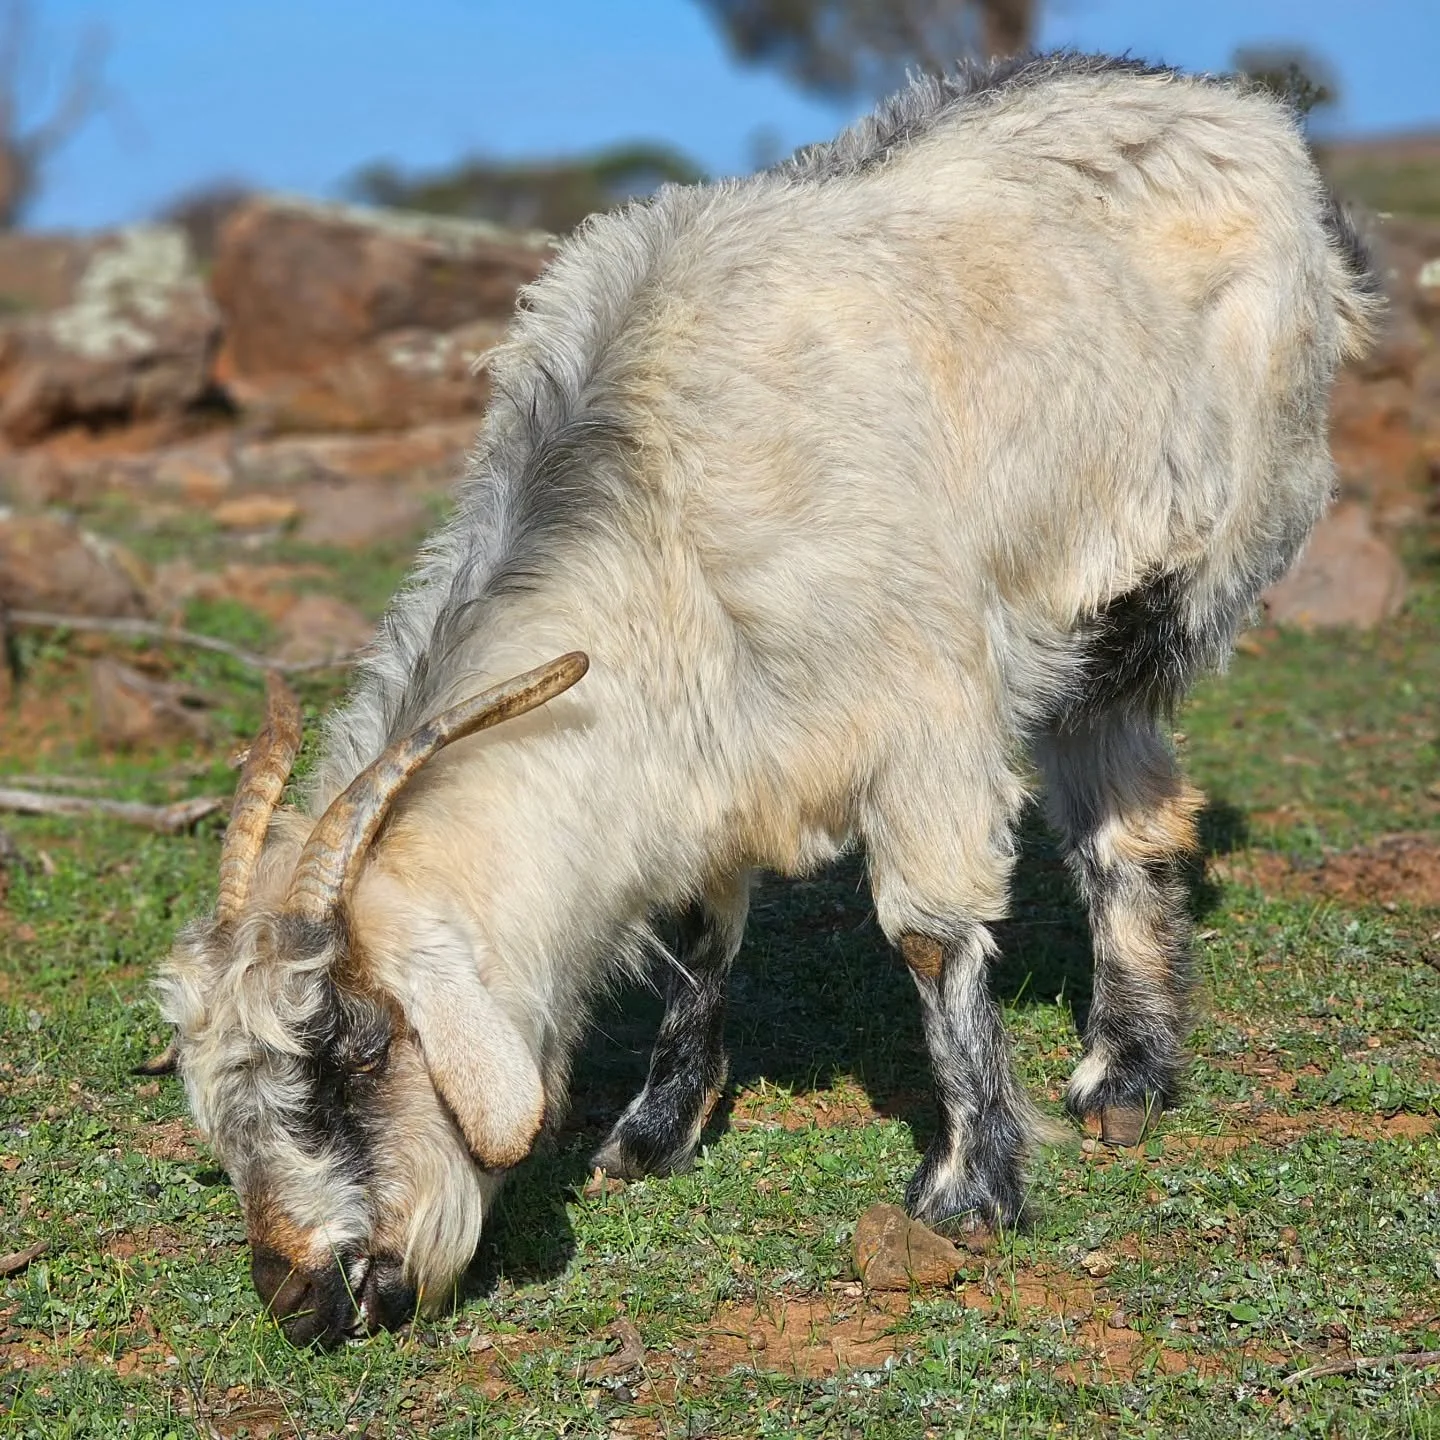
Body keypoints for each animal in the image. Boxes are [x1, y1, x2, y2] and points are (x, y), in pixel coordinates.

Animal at [153, 52, 1376, 1345]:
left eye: (352, 1053)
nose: (305, 1298)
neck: (659, 517)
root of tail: (1247, 112)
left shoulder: (923, 712)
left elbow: (933, 940)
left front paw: (970, 1188)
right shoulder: (705, 750)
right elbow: (697, 933)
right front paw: (654, 1131)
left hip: (1161, 583)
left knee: (1123, 814)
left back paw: (1124, 1075)